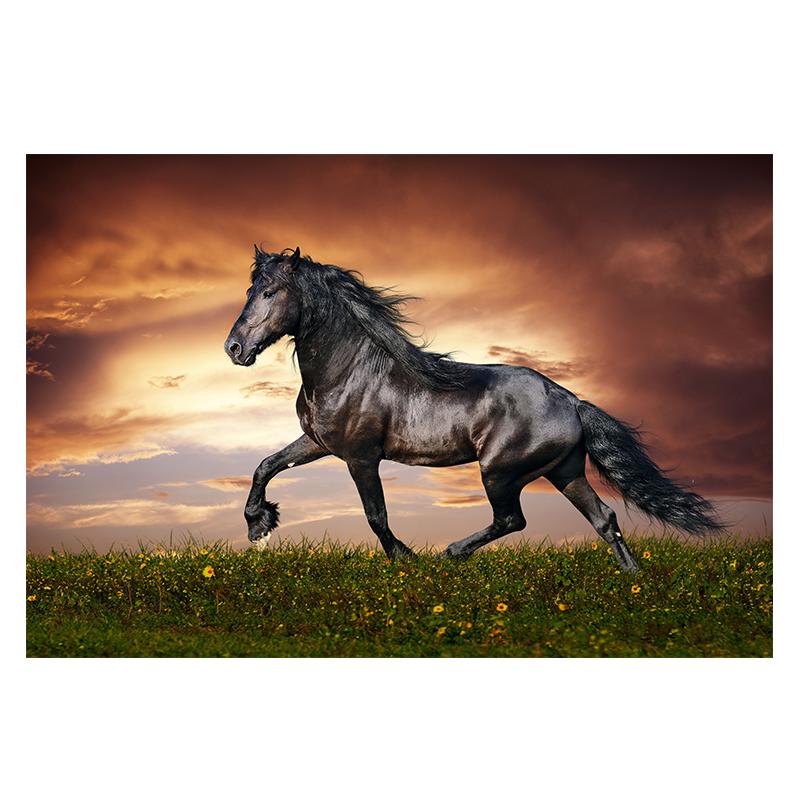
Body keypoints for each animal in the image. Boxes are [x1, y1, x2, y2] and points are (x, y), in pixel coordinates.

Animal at [224, 246, 722, 572]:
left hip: (499, 471)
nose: (234, 348)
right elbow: (265, 465)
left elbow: (375, 515)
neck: (349, 369)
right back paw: (633, 581)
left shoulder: (361, 457)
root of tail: (571, 401)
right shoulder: (319, 442)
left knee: (512, 519)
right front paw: (259, 525)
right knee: (604, 519)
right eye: (250, 290)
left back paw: (451, 553)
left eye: (270, 292)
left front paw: (406, 558)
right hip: (565, 471)